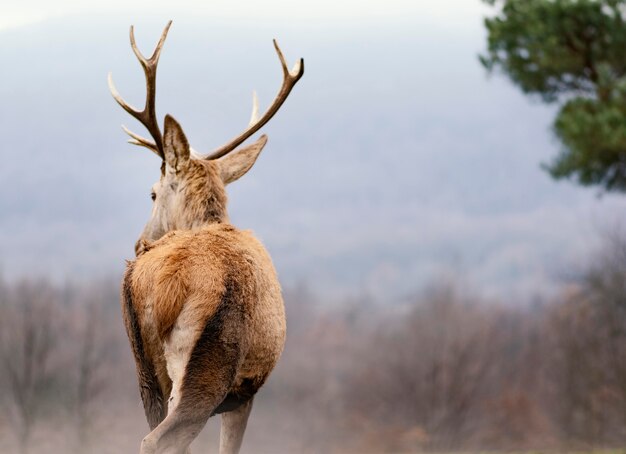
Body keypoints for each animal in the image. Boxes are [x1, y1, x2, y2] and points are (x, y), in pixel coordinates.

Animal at [108, 22, 304, 454]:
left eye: (152, 193)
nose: (138, 242)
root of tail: (165, 282)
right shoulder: (245, 393)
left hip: (144, 367)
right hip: (209, 363)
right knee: (159, 439)